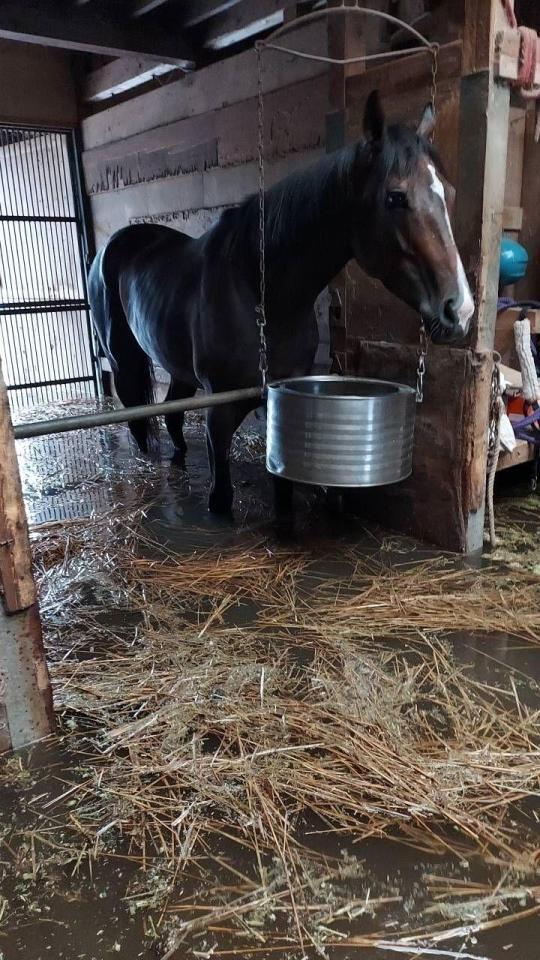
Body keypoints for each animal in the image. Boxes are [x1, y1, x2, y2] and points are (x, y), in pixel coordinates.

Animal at [88, 90, 474, 516]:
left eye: (450, 194)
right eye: (396, 196)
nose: (460, 310)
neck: (261, 295)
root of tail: (115, 244)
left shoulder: (281, 401)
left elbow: (284, 494)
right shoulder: (219, 413)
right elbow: (221, 499)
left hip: (178, 369)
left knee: (173, 418)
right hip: (123, 362)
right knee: (138, 421)